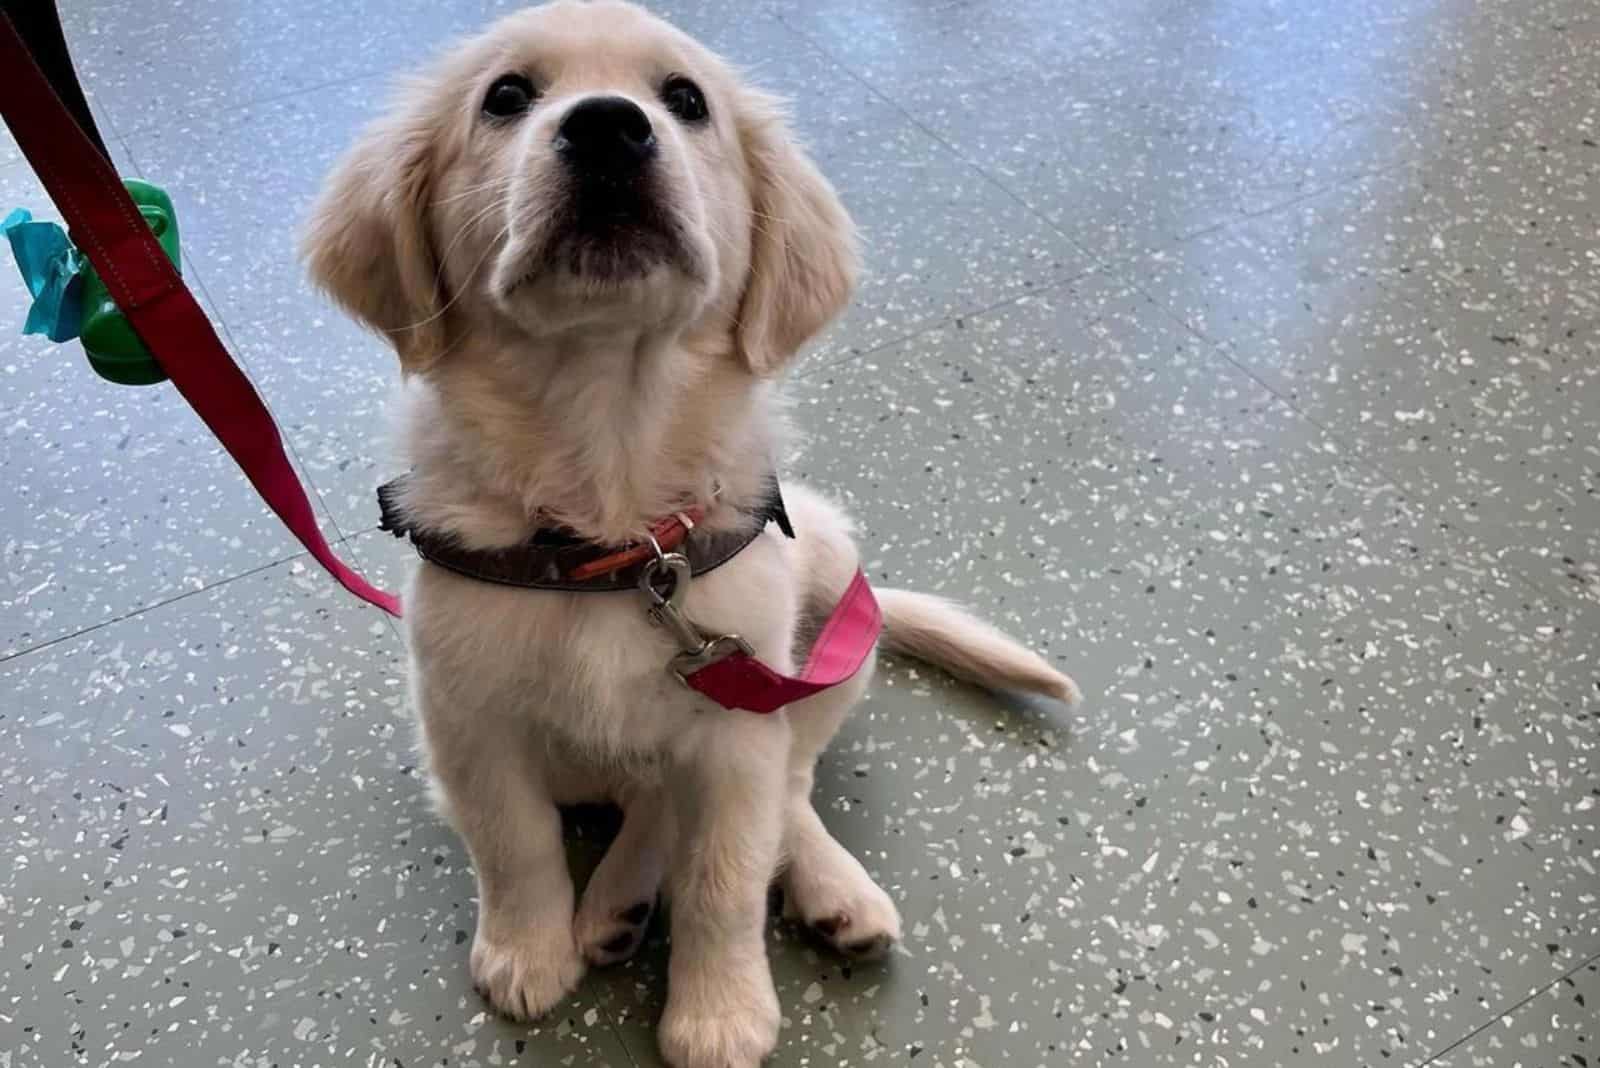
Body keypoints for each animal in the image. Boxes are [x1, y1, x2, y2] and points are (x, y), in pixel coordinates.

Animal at [302, 4, 1075, 1061]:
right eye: (506, 96)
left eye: (685, 99)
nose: (606, 128)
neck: (612, 518)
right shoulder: (465, 718)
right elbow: (513, 844)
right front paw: (527, 953)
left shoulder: (738, 727)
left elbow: (724, 877)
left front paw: (720, 1014)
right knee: (647, 804)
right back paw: (613, 904)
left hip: (834, 595)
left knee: (782, 787)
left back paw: (824, 888)